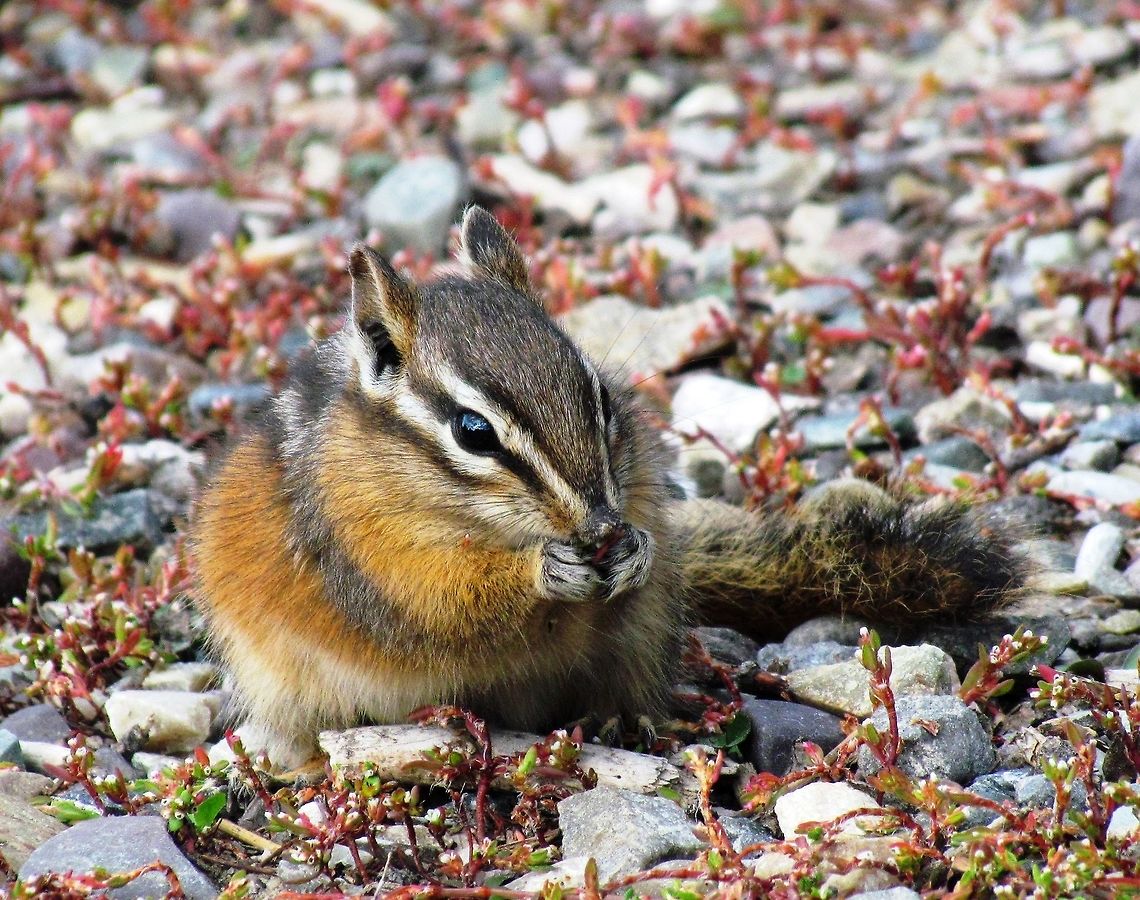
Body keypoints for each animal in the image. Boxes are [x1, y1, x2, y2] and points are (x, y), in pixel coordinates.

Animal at [191, 206, 1031, 768]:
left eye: (596, 394)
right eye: (472, 431)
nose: (598, 521)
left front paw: (635, 551)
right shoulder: (372, 557)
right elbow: (444, 603)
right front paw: (544, 570)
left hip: (646, 635)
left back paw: (624, 725)